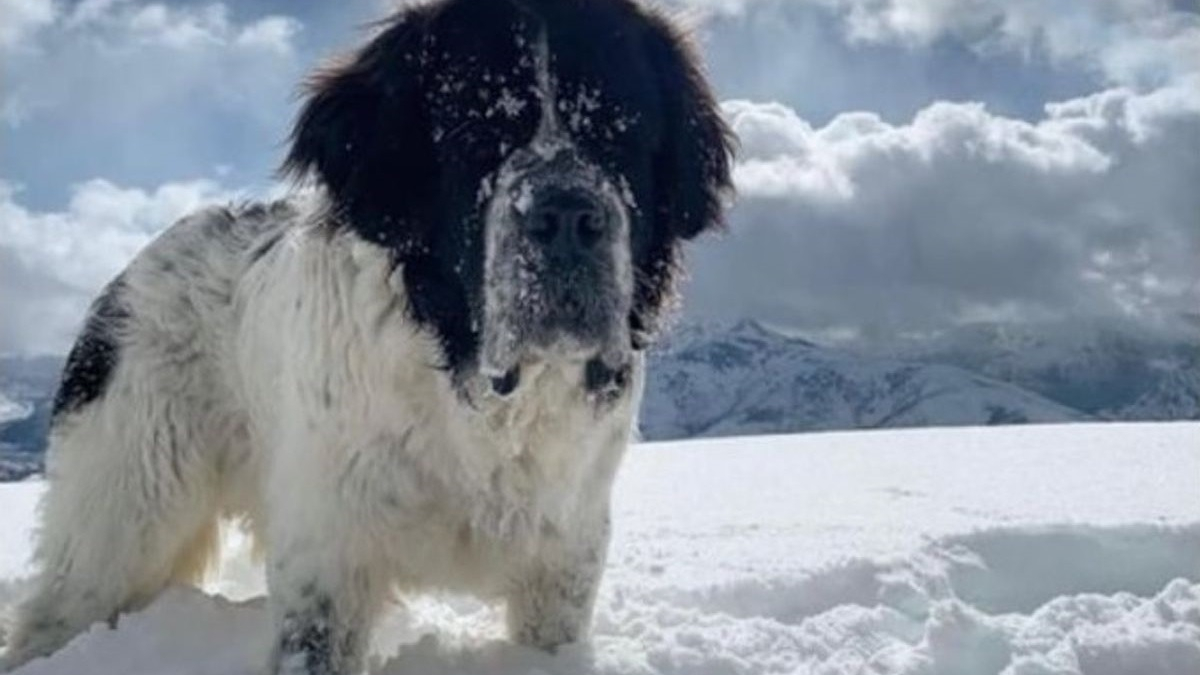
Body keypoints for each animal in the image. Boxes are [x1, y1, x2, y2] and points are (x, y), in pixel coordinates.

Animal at [2, 2, 729, 667]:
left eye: (623, 133)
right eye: (475, 133)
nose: (569, 216)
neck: (471, 394)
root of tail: (129, 269)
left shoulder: (563, 561)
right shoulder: (327, 558)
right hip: (125, 517)